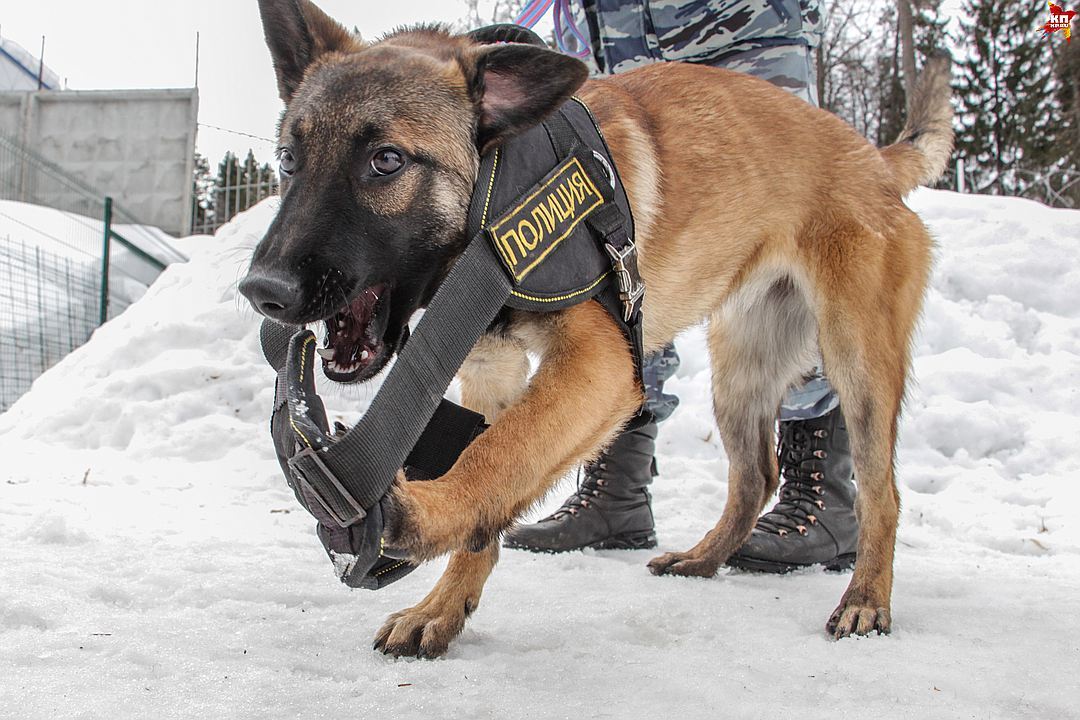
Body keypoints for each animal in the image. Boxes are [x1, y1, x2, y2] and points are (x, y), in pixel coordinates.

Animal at [240, 0, 950, 660]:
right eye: (289, 160)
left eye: (386, 161)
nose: (263, 291)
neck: (496, 182)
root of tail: (874, 159)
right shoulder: (493, 366)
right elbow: (493, 481)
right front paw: (443, 607)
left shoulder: (601, 364)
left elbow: (498, 452)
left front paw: (422, 516)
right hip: (742, 372)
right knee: (756, 476)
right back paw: (704, 559)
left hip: (856, 361)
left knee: (880, 492)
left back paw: (865, 598)